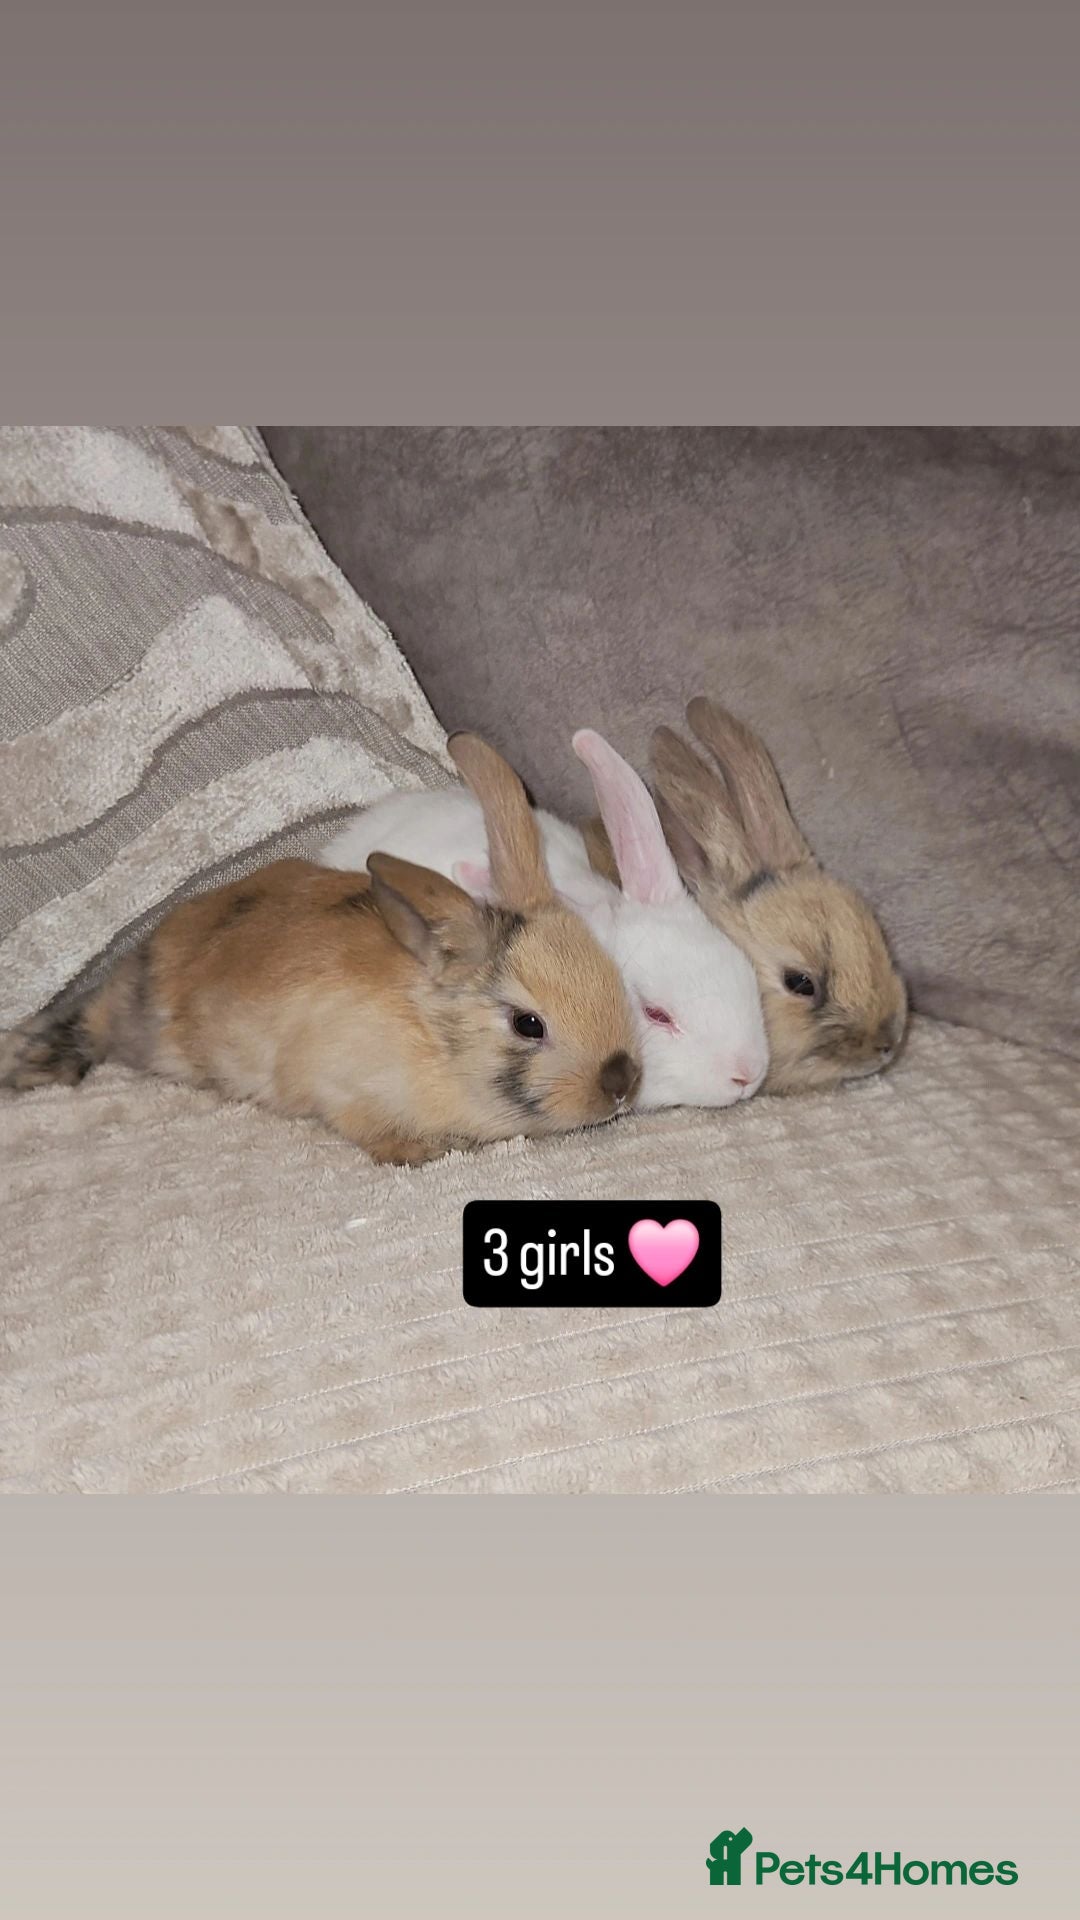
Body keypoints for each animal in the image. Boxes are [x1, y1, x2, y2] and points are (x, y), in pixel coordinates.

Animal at [0, 734, 642, 1165]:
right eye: (529, 1024)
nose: (622, 1085)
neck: (434, 1043)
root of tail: (147, 953)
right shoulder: (342, 1090)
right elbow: (368, 1129)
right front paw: (419, 1152)